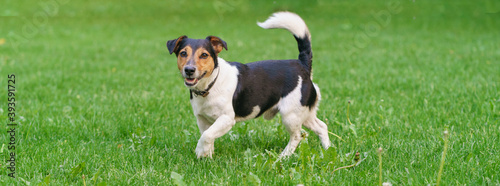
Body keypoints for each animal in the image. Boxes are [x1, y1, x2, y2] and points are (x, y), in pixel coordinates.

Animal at [168, 11, 332, 158]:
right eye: (183, 53)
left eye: (204, 55)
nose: (189, 70)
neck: (210, 85)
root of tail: (302, 65)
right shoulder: (202, 119)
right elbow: (207, 136)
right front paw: (206, 155)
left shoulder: (227, 119)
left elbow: (207, 136)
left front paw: (201, 151)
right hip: (304, 113)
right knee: (321, 126)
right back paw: (328, 149)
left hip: (290, 114)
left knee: (297, 136)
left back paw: (283, 157)